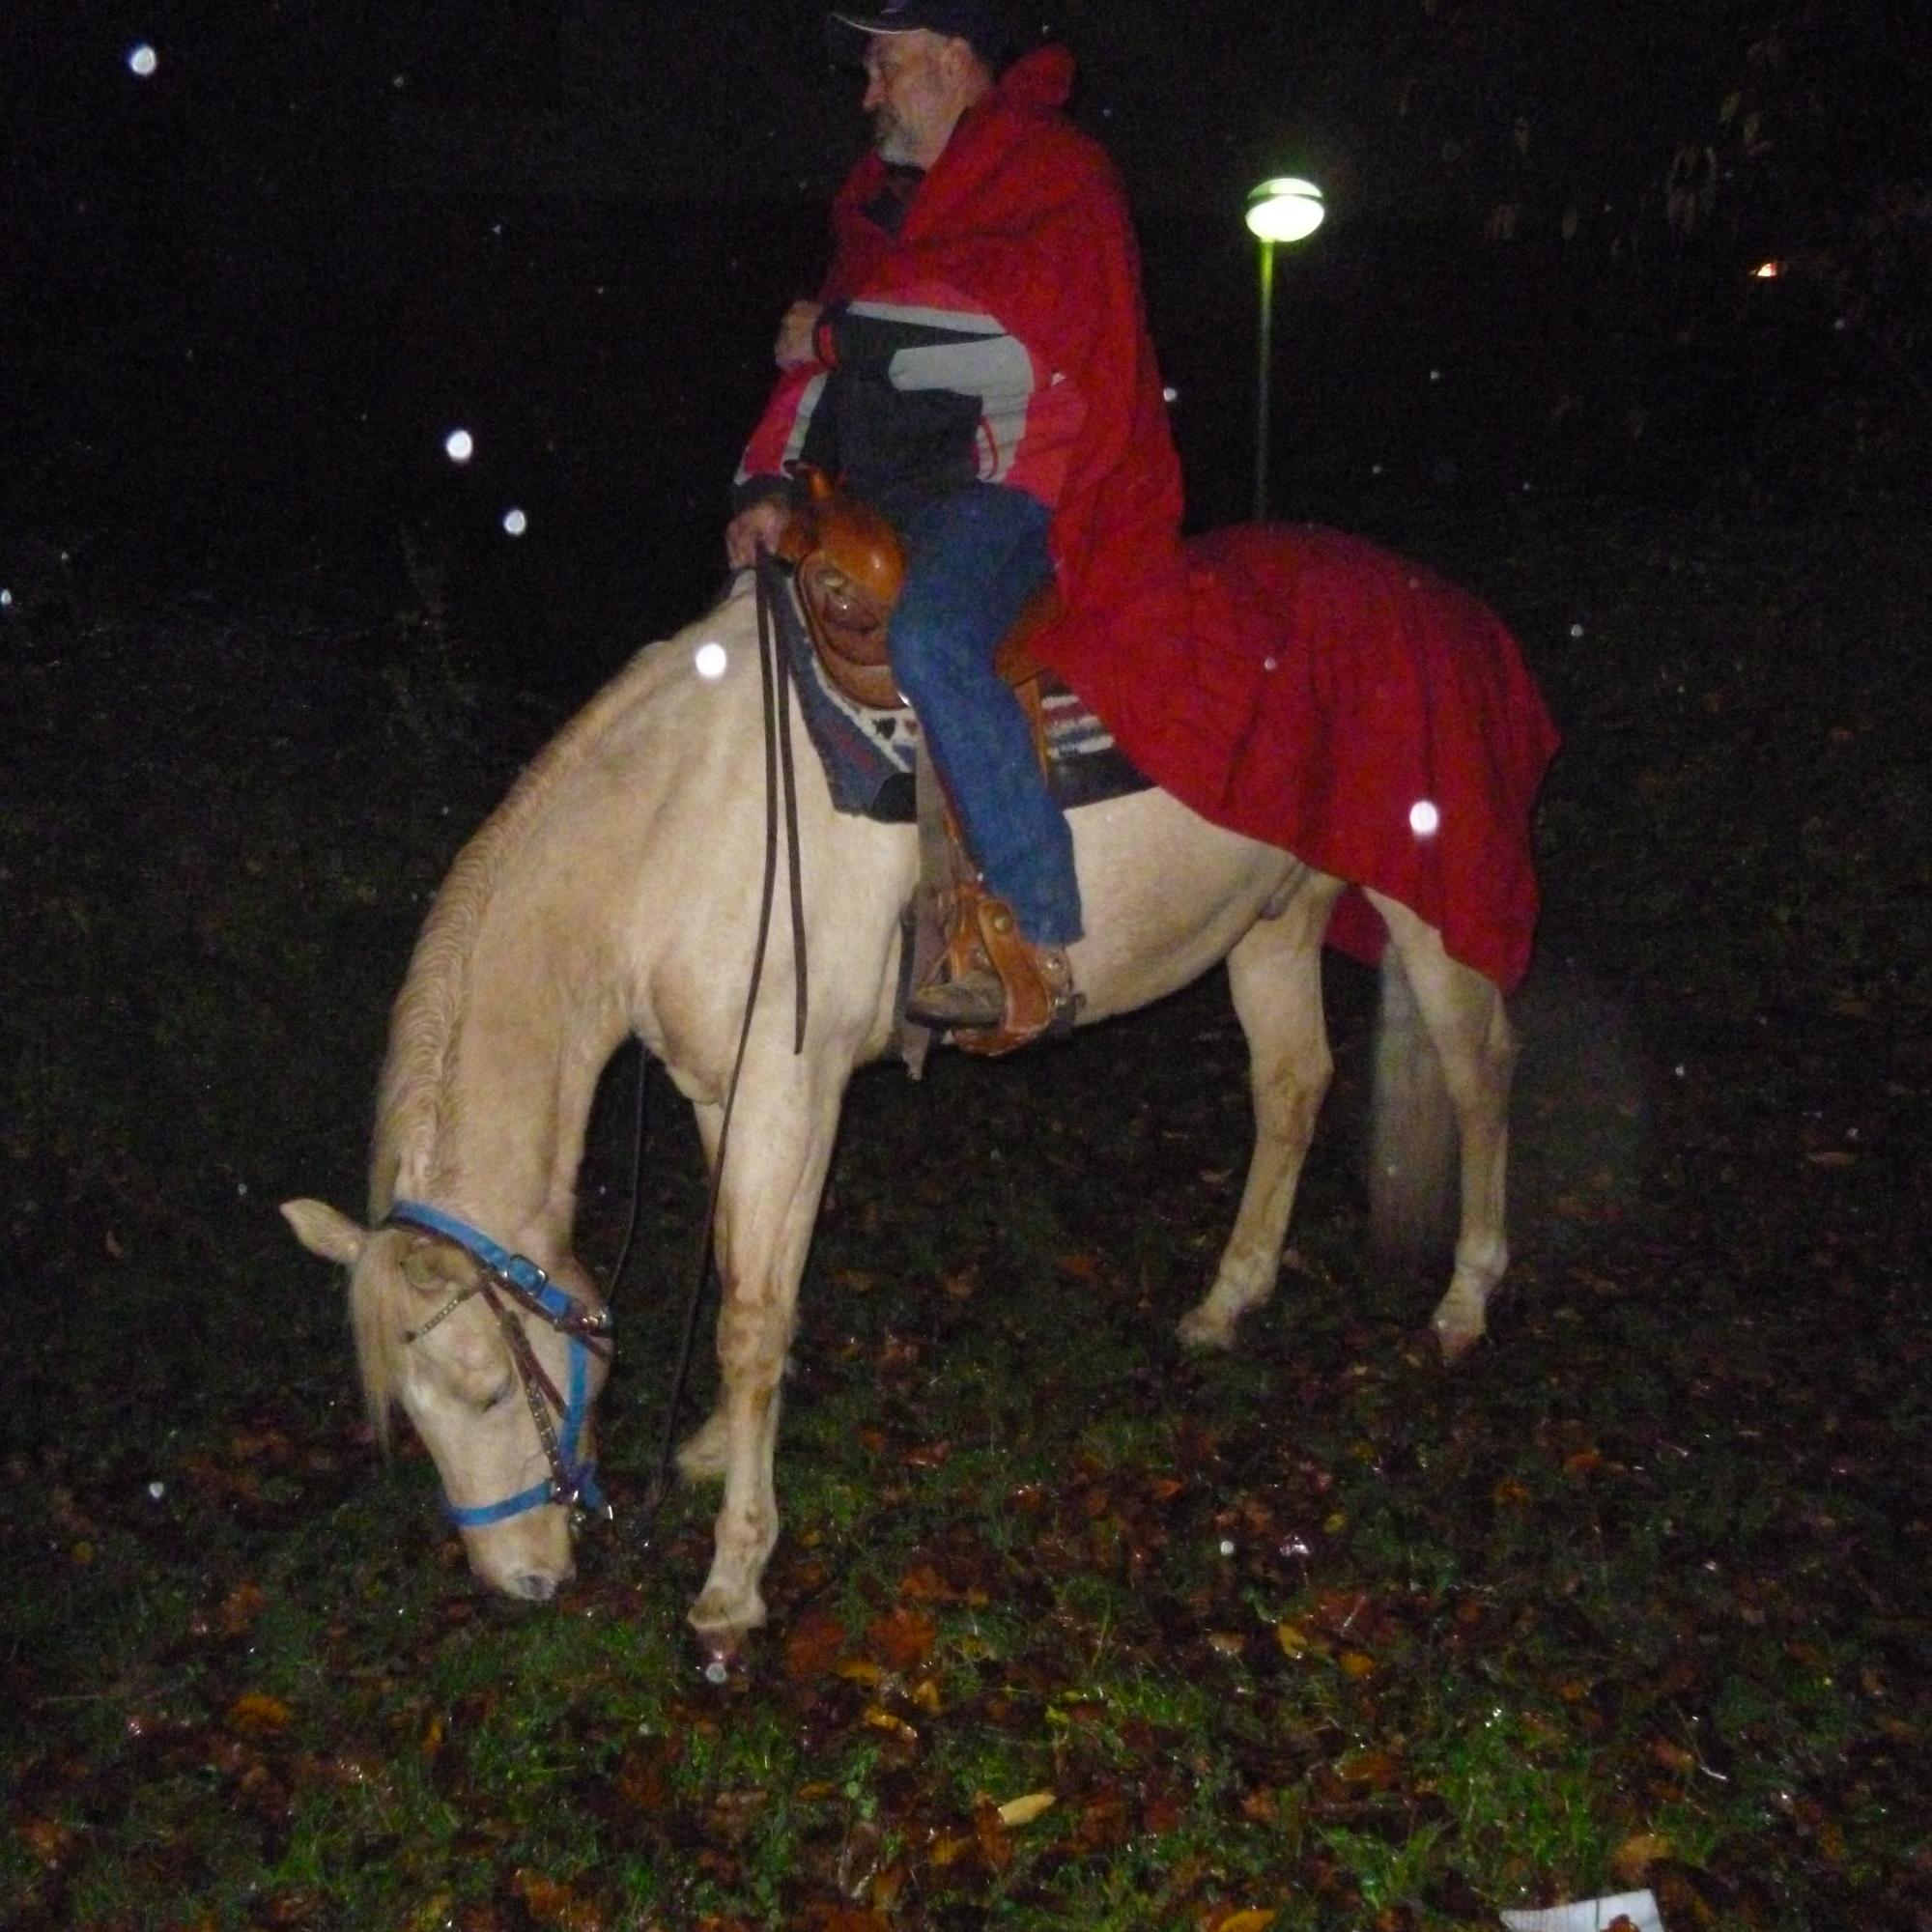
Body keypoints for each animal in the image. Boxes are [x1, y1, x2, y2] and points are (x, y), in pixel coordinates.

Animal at [286, 564, 1522, 1654]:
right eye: (411, 1412)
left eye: (490, 1387)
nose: (523, 1585)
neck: (677, 829)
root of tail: (1445, 609)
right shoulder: (722, 1088)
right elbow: (744, 1280)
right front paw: (711, 1450)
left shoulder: (790, 1088)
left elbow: (748, 1319)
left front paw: (733, 1577)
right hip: (1274, 919)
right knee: (1290, 1085)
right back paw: (1226, 1301)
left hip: (1429, 916)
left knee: (1478, 1078)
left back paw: (1464, 1301)